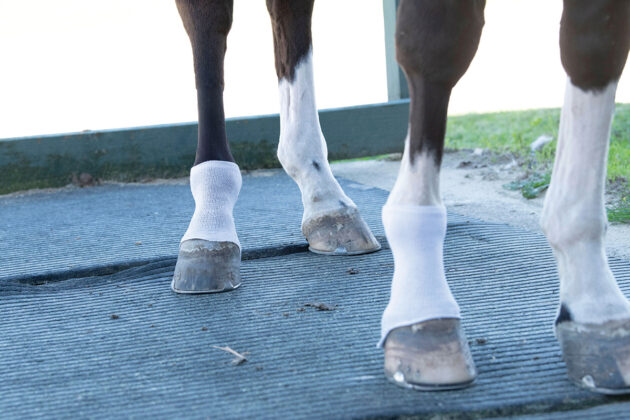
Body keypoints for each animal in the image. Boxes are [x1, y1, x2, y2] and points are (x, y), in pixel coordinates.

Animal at [170, 0, 628, 394]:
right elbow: (437, 44)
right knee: (210, 22)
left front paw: (595, 309)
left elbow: (592, 45)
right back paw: (212, 223)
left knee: (289, 16)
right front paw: (422, 311)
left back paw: (326, 201)